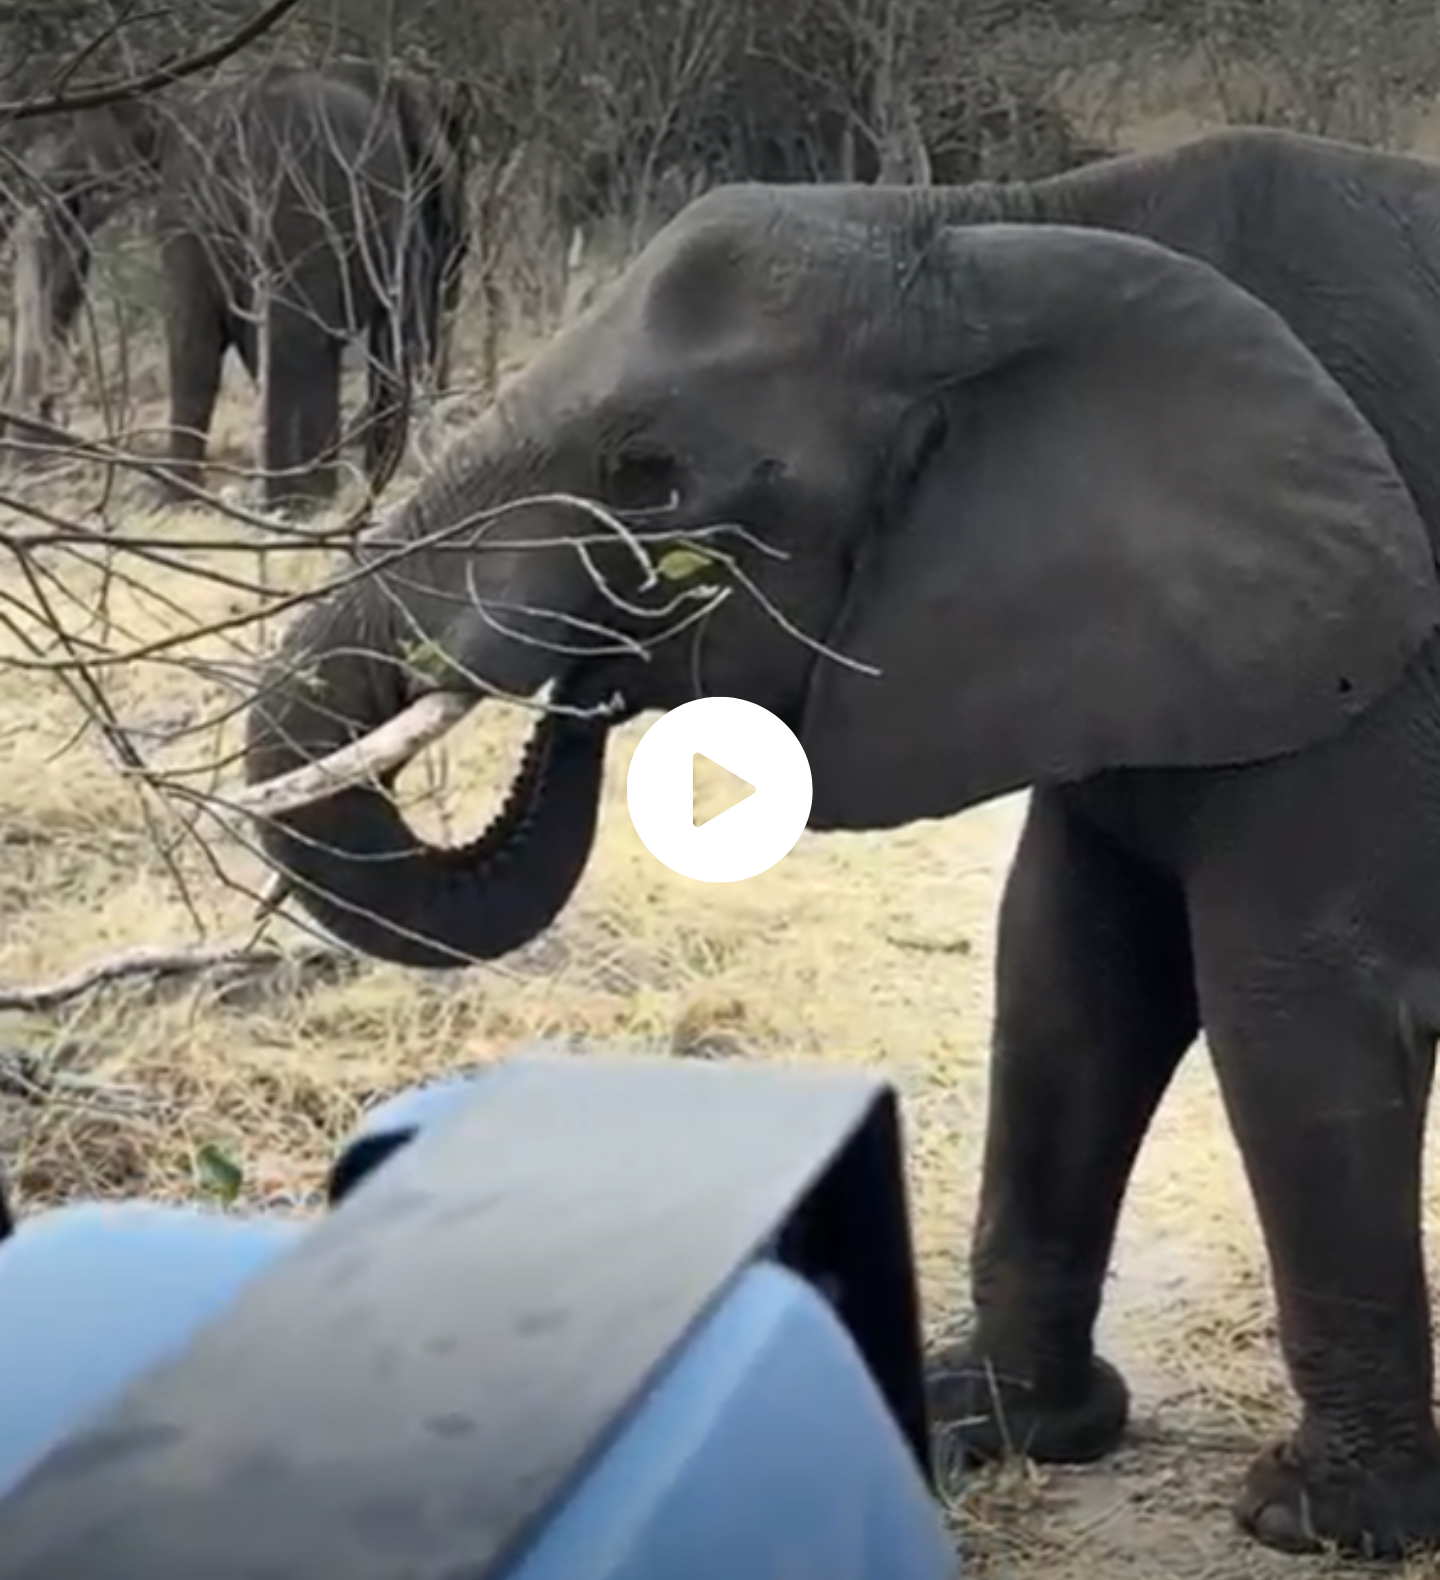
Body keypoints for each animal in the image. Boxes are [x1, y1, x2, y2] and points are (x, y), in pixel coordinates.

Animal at [243, 123, 1440, 1559]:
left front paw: (1319, 1521)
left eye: (649, 475)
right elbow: (1072, 977)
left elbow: (1290, 1005)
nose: (581, 682)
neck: (1000, 231)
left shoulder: (1384, 662)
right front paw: (987, 1421)